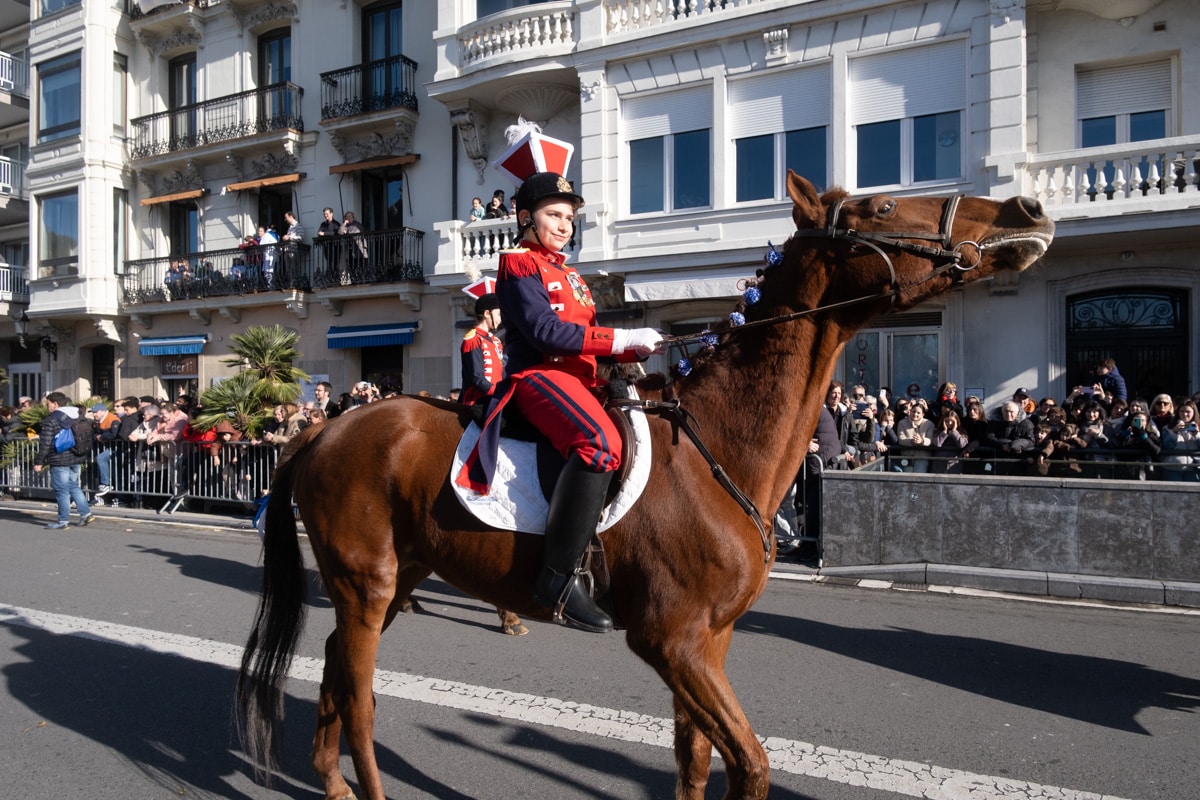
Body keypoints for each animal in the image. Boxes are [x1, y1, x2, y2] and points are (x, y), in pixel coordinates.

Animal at [237, 171, 1055, 800]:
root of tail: (328, 427)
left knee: (336, 675)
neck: (715, 449)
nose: (1027, 212)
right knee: (361, 701)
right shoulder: (672, 640)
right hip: (367, 585)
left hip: (392, 582)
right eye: (881, 209)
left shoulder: (709, 642)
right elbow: (750, 766)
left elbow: (694, 762)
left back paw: (330, 781)